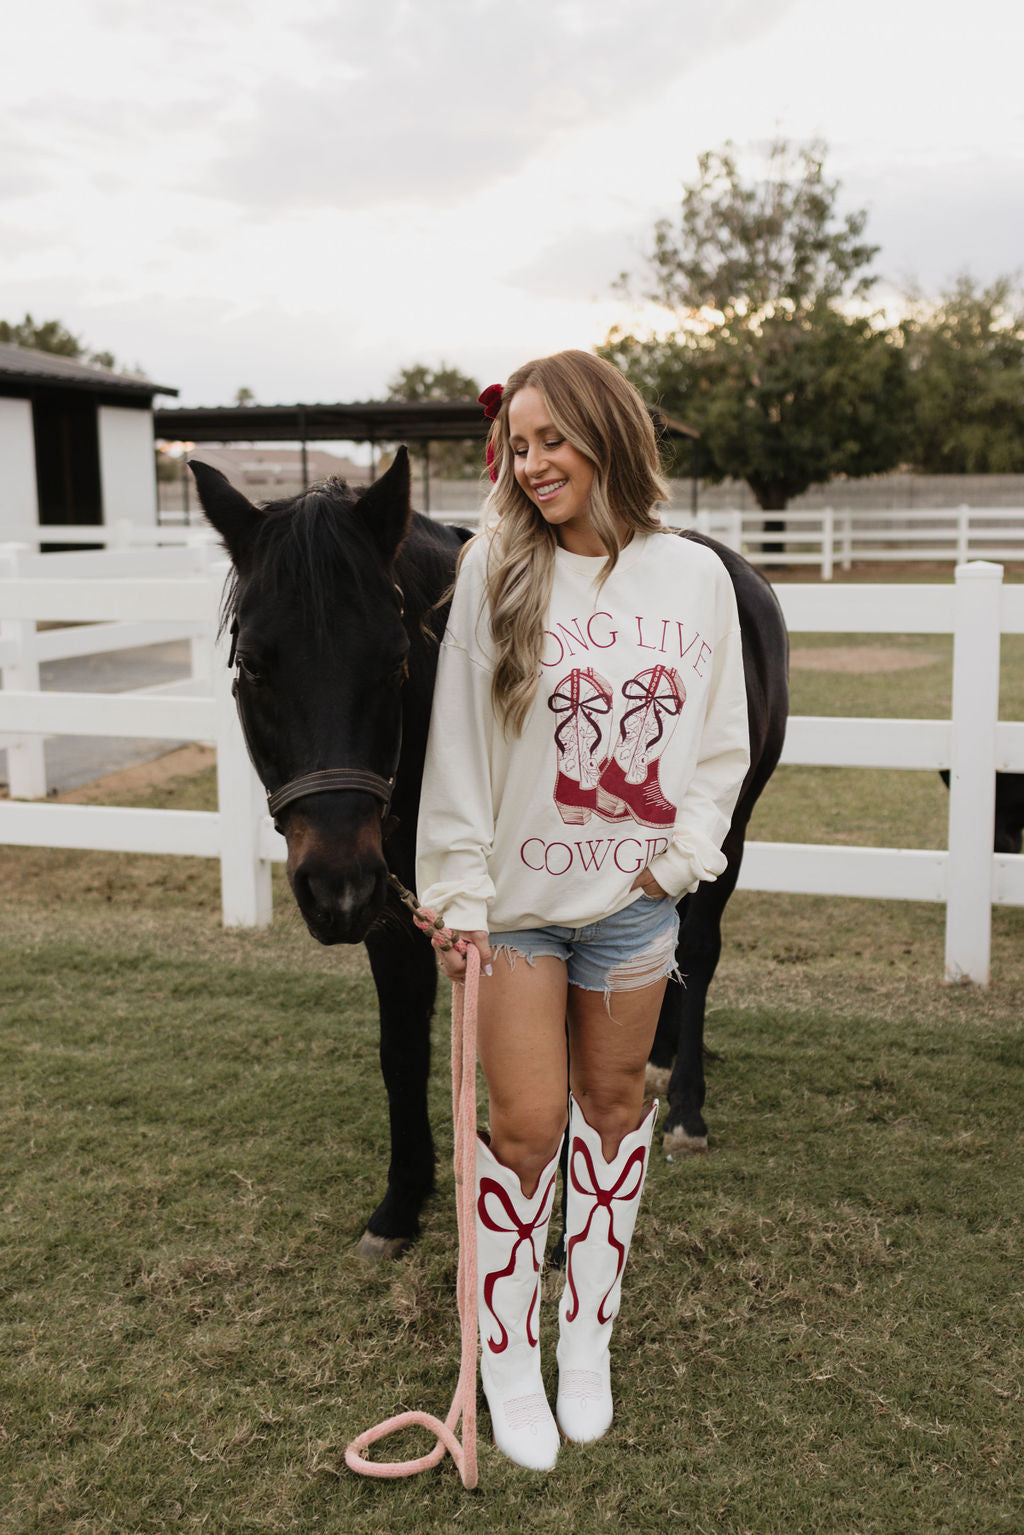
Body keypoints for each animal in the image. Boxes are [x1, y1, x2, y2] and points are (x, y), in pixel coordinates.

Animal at [194, 448, 792, 1258]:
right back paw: (661, 1055)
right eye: (255, 663)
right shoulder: (396, 913)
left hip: (730, 824)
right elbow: (402, 1046)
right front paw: (399, 1204)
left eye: (394, 660)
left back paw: (687, 1107)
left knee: (696, 948)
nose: (336, 885)